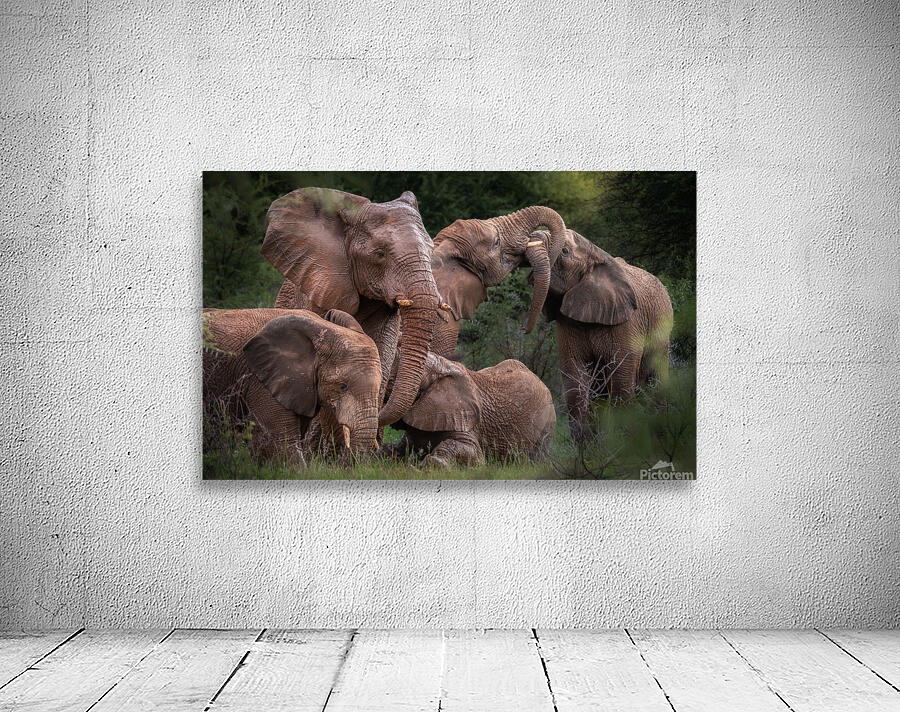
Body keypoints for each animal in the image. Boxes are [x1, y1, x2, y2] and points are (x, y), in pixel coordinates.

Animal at [382, 353, 556, 468]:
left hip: (548, 420)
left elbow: (474, 454)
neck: (443, 367)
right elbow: (402, 446)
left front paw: (429, 465)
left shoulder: (464, 419)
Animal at [541, 229, 673, 439]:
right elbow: (574, 380)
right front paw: (587, 445)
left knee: (655, 380)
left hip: (662, 328)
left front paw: (627, 443)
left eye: (564, 251)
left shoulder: (627, 323)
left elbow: (621, 381)